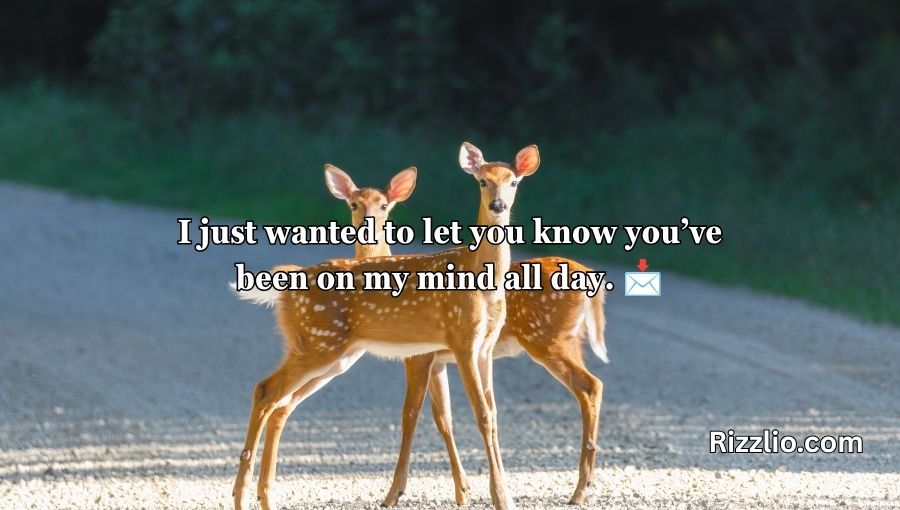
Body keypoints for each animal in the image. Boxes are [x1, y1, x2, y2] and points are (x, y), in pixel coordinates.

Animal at [230, 143, 540, 510]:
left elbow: (490, 415)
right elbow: (475, 415)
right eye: (482, 181)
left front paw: (491, 493)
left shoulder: (483, 348)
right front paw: (499, 497)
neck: (481, 278)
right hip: (319, 343)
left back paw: (263, 496)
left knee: (280, 404)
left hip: (333, 354)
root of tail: (286, 288)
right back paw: (240, 496)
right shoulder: (461, 339)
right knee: (264, 390)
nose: (498, 205)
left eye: (514, 182)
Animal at [319, 148, 609, 506]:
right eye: (354, 204)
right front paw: (462, 491)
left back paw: (579, 490)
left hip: (547, 338)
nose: (367, 224)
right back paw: (583, 485)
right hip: (568, 339)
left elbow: (410, 414)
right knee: (592, 385)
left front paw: (394, 493)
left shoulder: (419, 356)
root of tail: (591, 276)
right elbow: (444, 417)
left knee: (590, 386)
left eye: (384, 205)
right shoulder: (439, 359)